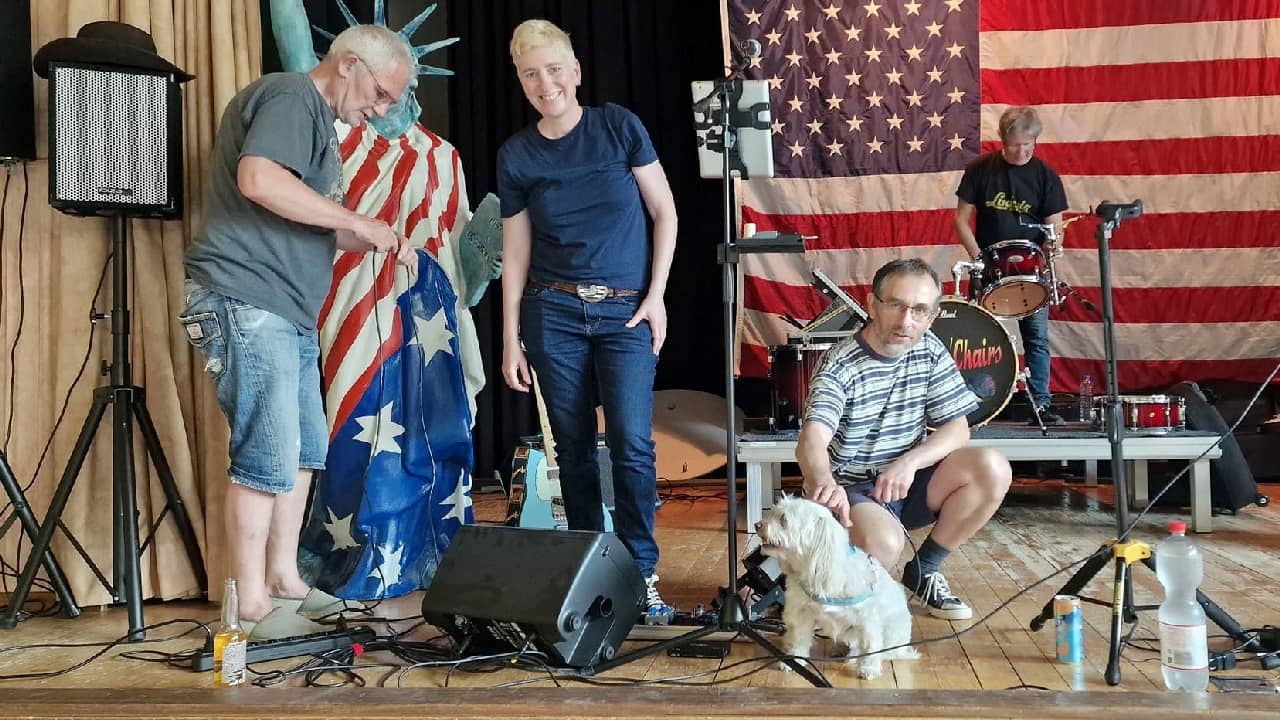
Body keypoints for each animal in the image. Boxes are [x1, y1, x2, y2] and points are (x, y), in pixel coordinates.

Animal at [752, 491, 916, 676]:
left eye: (784, 519)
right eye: (772, 512)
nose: (757, 524)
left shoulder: (868, 619)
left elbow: (870, 645)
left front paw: (869, 668)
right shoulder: (801, 613)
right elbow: (799, 638)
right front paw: (794, 659)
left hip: (891, 631)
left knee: (885, 651)